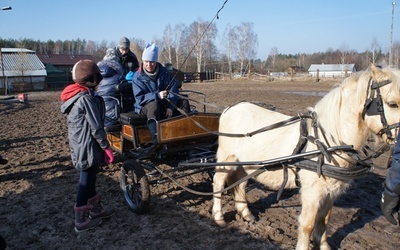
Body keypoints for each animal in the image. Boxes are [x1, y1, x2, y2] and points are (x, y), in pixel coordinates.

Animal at [211, 65, 400, 249]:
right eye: (392, 104)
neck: (327, 142)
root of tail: (230, 108)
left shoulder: (331, 191)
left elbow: (323, 220)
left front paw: (323, 245)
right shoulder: (312, 191)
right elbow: (308, 224)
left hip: (246, 163)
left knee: (240, 183)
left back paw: (246, 213)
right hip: (227, 158)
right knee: (218, 182)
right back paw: (219, 217)